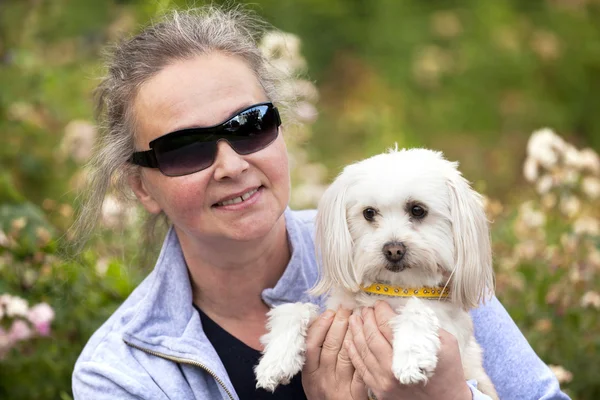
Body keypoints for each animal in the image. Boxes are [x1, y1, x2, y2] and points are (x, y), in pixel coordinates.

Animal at [255, 148, 500, 398]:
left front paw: (411, 358)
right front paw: (276, 360)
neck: (392, 287)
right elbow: (293, 309)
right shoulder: (334, 315)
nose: (393, 250)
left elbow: (418, 308)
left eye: (418, 210)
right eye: (369, 213)